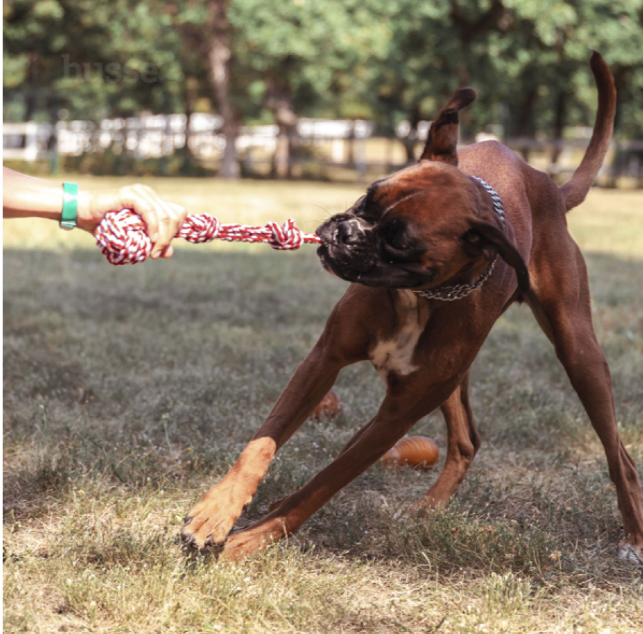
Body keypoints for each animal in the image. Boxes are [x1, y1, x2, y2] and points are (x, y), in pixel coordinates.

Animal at [180, 51, 643, 560]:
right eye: (368, 197)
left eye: (400, 242)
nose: (346, 233)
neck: (420, 297)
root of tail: (551, 189)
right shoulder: (324, 361)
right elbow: (262, 443)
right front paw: (218, 510)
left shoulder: (397, 413)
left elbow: (323, 482)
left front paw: (255, 536)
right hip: (455, 381)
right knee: (467, 441)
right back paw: (428, 508)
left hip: (578, 354)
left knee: (619, 453)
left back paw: (634, 536)